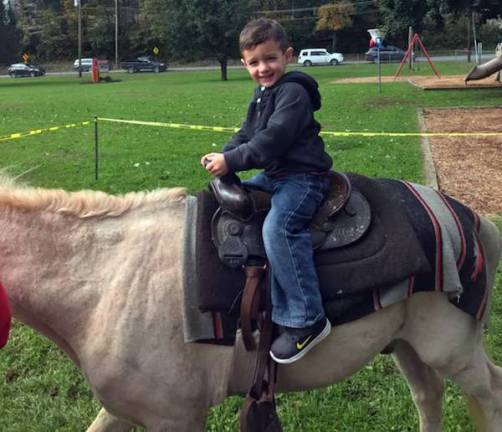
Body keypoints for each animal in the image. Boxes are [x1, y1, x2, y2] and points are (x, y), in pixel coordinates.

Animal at [0, 176, 500, 432]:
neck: (107, 278)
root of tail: (469, 216)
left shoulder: (176, 417)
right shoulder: (126, 410)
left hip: (450, 348)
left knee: (490, 392)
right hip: (405, 344)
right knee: (428, 396)